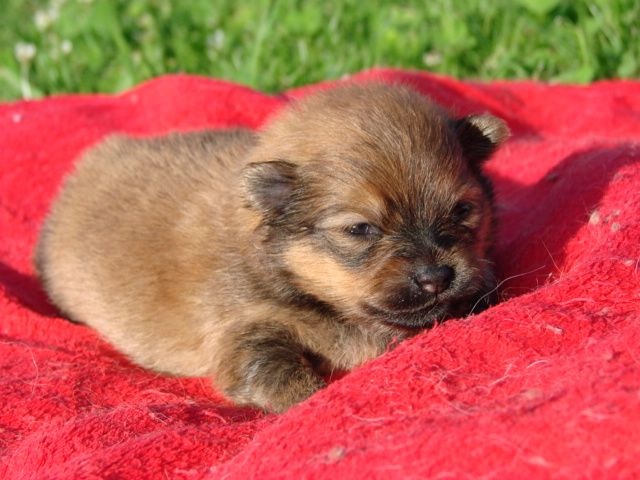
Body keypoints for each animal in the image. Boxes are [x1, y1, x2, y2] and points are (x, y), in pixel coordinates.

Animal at [36, 83, 510, 412]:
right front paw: (312, 396)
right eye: (359, 229)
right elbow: (277, 374)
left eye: (463, 210)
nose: (437, 277)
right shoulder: (246, 329)